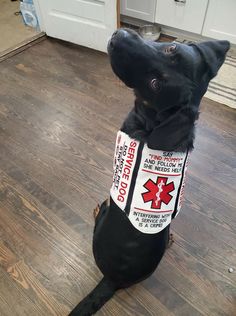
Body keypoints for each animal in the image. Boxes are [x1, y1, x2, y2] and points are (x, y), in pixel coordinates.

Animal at [69, 28, 229, 314]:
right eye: (170, 48)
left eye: (156, 84)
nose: (119, 36)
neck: (152, 122)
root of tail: (112, 280)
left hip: (99, 226)